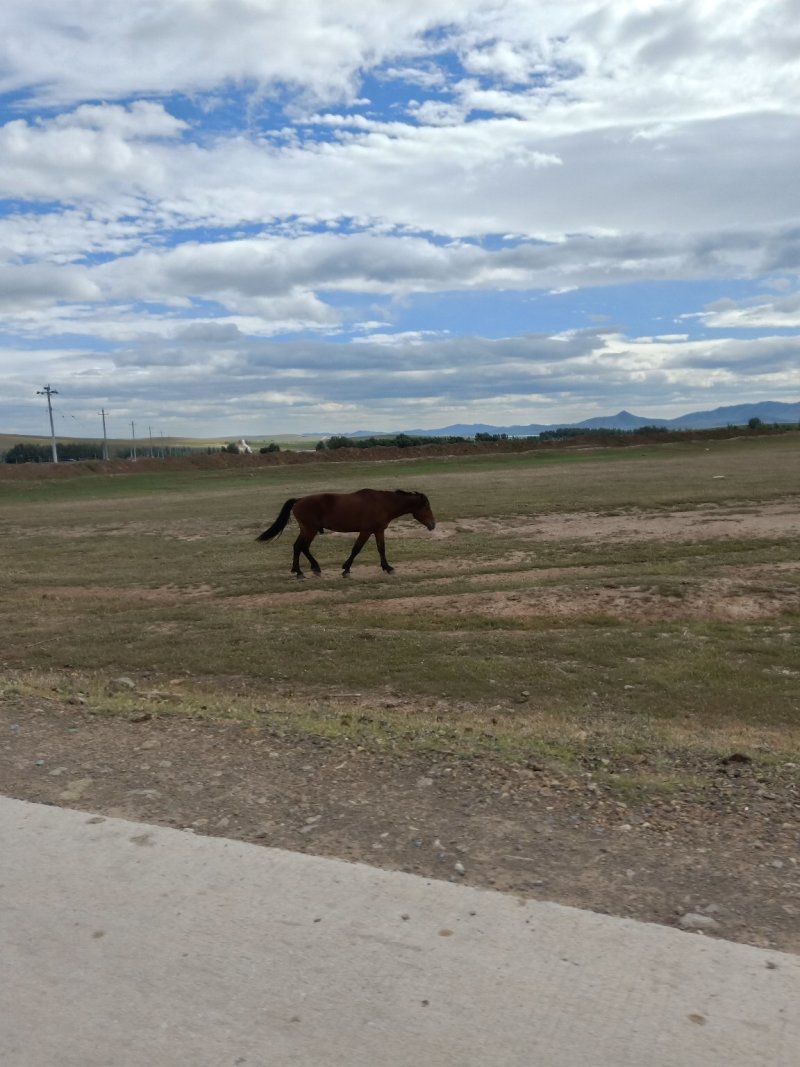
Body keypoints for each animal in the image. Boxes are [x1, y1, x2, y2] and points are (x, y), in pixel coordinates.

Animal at [256, 488, 436, 577]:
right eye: (426, 506)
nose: (433, 525)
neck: (383, 503)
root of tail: (298, 501)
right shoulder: (366, 531)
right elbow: (356, 549)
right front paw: (346, 569)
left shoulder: (378, 531)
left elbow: (381, 549)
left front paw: (387, 567)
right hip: (310, 529)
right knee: (301, 547)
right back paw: (302, 571)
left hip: (307, 530)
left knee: (299, 547)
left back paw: (305, 569)